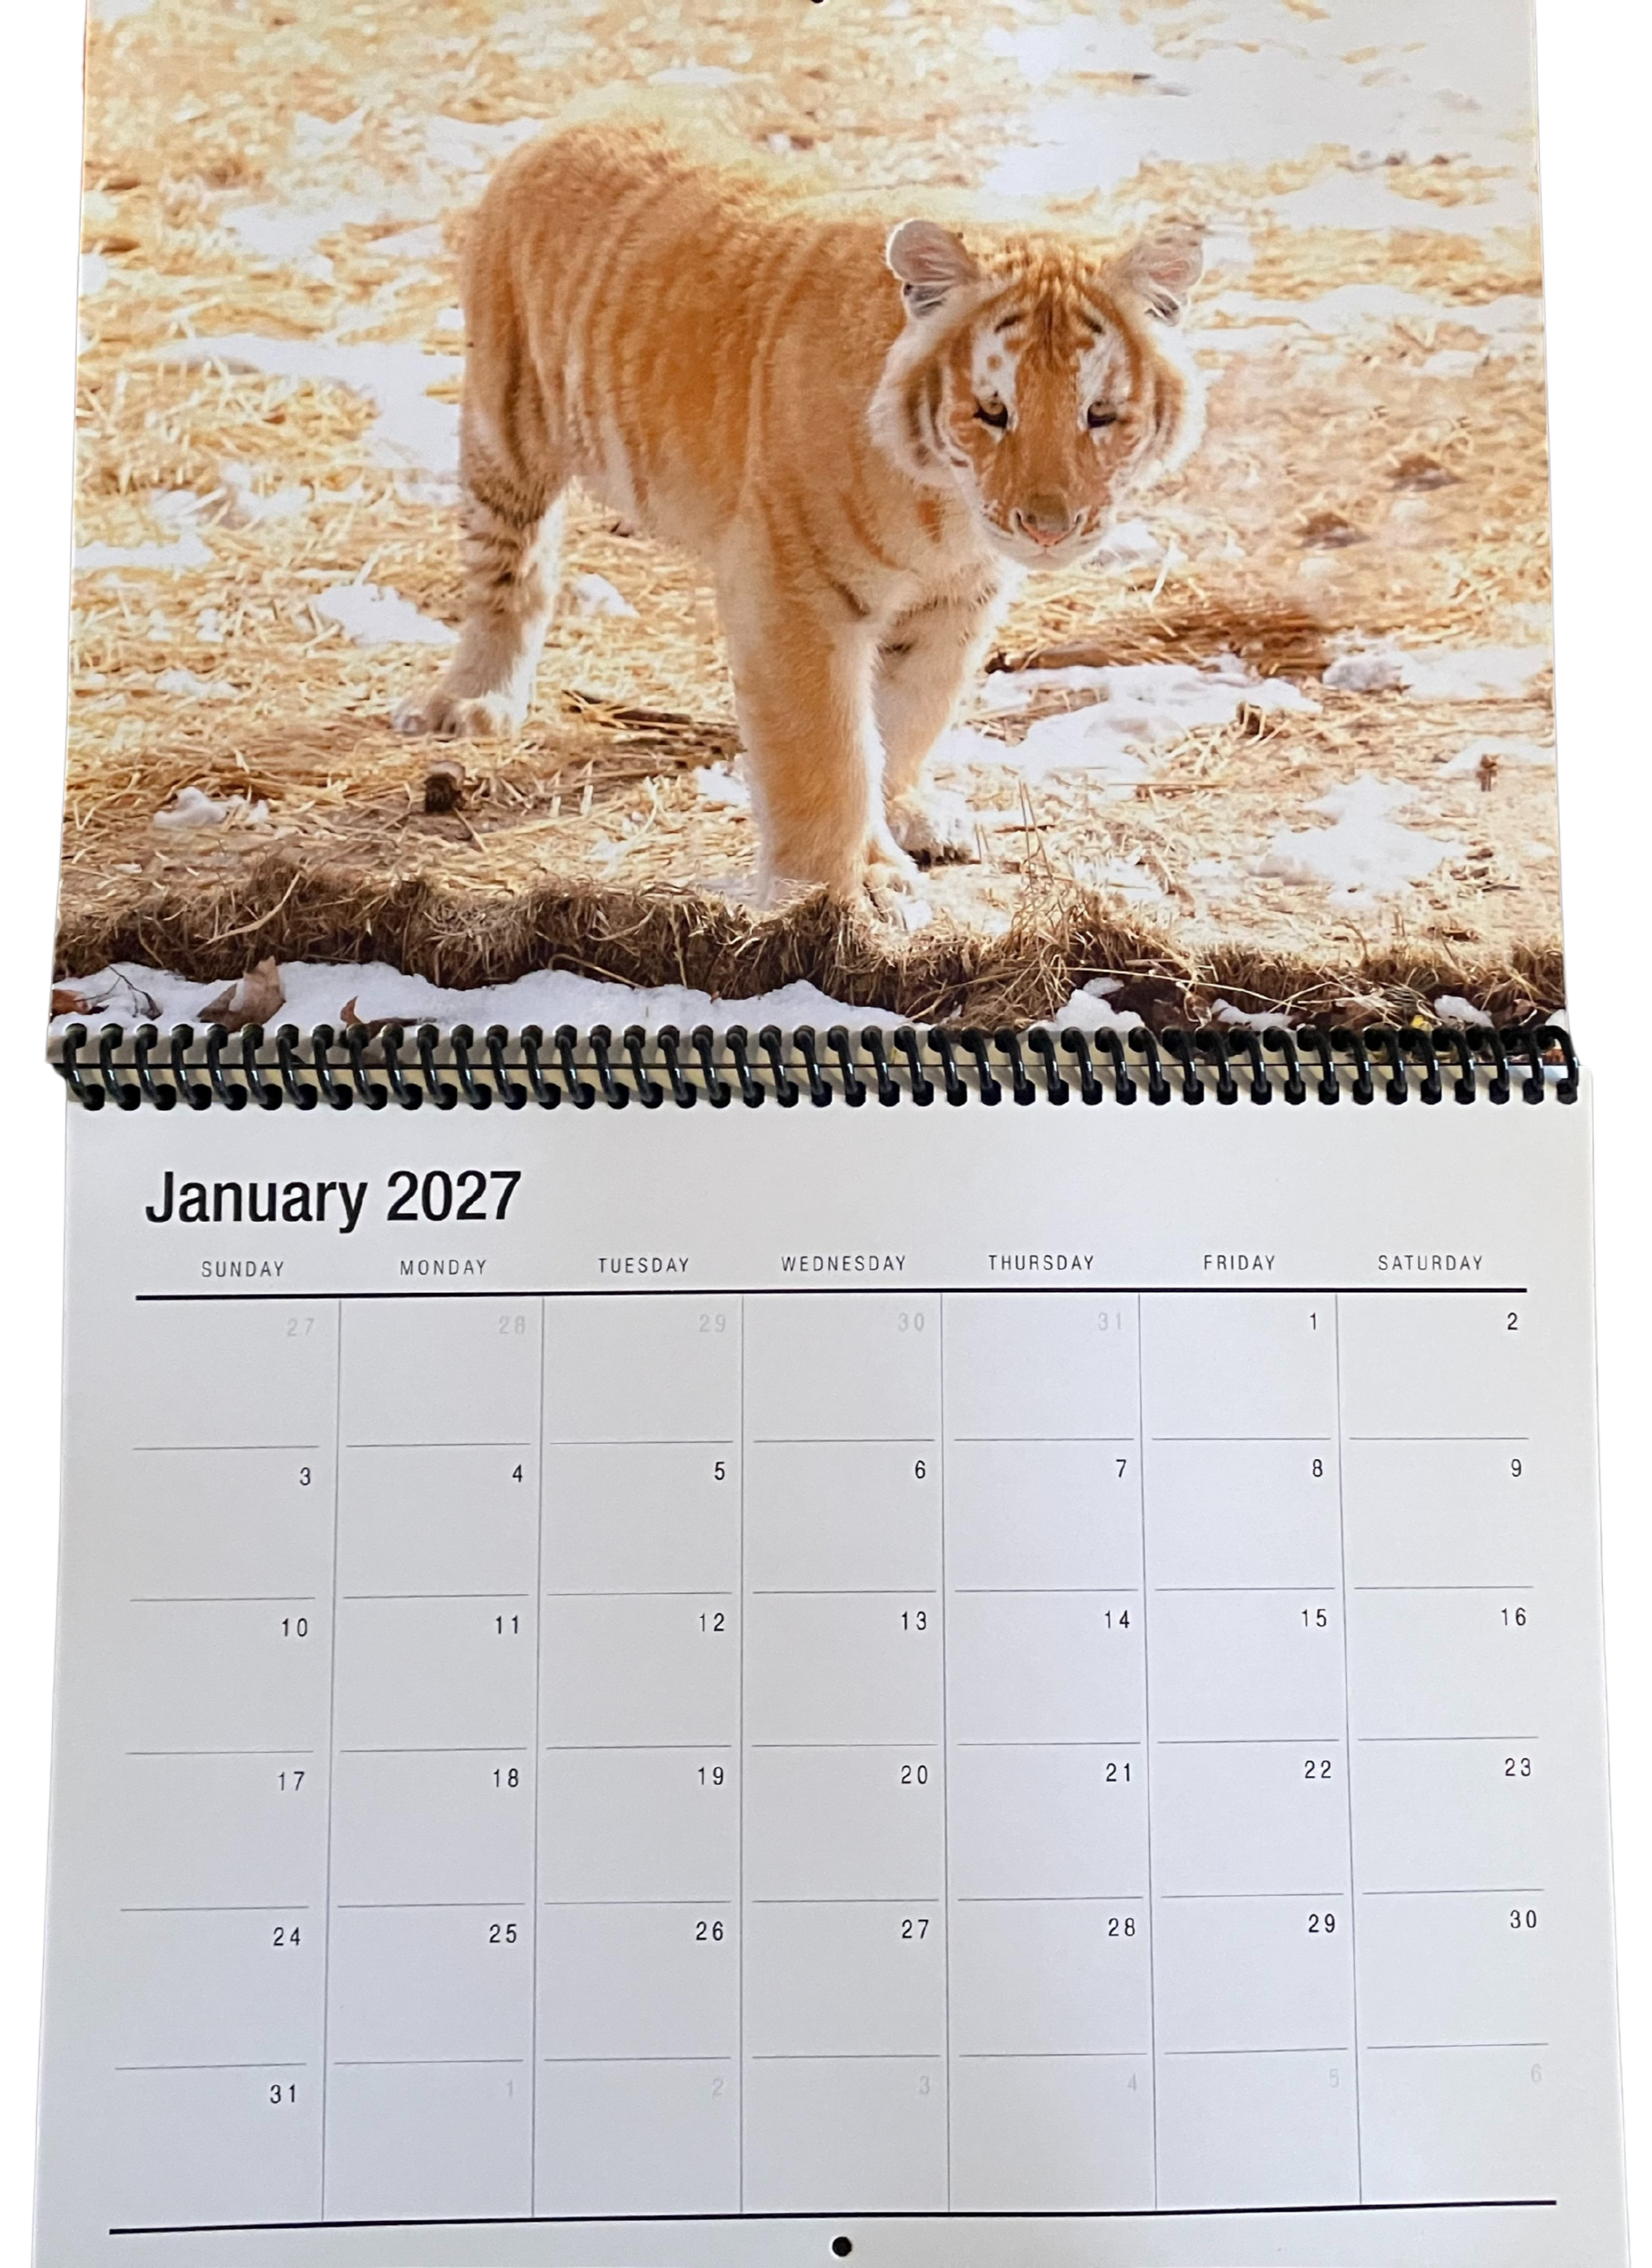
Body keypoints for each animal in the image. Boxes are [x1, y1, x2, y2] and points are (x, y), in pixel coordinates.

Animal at [393, 118, 1206, 910]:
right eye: (992, 411)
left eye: (1100, 414)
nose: (1047, 527)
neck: (945, 514)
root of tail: (565, 121)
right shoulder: (795, 588)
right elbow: (828, 746)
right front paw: (845, 882)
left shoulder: (953, 600)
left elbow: (910, 714)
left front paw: (907, 815)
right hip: (508, 428)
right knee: (510, 573)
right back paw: (474, 704)